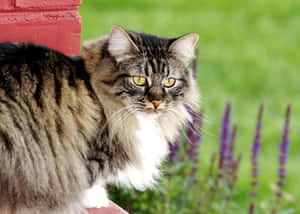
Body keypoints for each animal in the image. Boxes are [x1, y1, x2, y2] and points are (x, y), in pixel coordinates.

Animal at [0, 25, 199, 213]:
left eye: (169, 82)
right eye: (139, 80)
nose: (157, 102)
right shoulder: (90, 150)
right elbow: (89, 176)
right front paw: (94, 199)